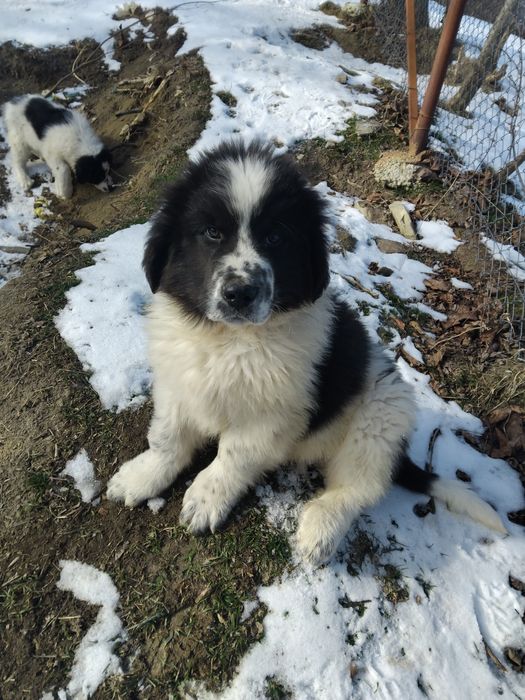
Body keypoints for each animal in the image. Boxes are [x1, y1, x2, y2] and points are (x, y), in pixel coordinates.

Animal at [107, 141, 506, 565]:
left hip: (382, 414)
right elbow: (166, 437)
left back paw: (321, 528)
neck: (229, 340)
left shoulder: (272, 413)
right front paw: (143, 475)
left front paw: (206, 498)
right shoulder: (177, 381)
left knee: (359, 488)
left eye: (275, 238)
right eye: (212, 233)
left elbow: (233, 455)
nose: (240, 294)